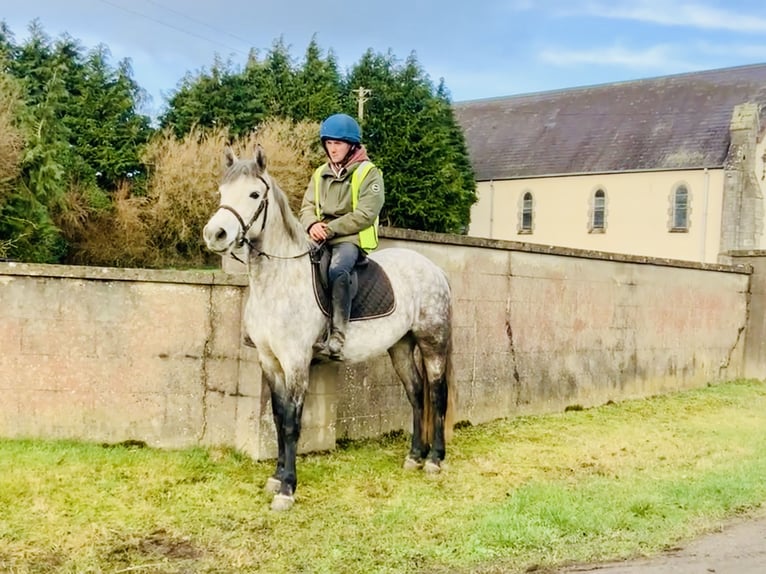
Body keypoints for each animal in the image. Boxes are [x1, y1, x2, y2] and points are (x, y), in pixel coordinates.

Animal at [202, 145, 456, 512]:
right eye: (222, 192)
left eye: (254, 194)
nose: (215, 235)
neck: (279, 281)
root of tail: (434, 269)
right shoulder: (269, 361)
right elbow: (277, 418)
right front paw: (276, 477)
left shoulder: (296, 362)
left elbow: (292, 424)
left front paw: (287, 489)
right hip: (400, 346)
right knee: (416, 392)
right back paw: (414, 456)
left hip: (432, 342)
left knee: (436, 393)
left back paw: (435, 460)